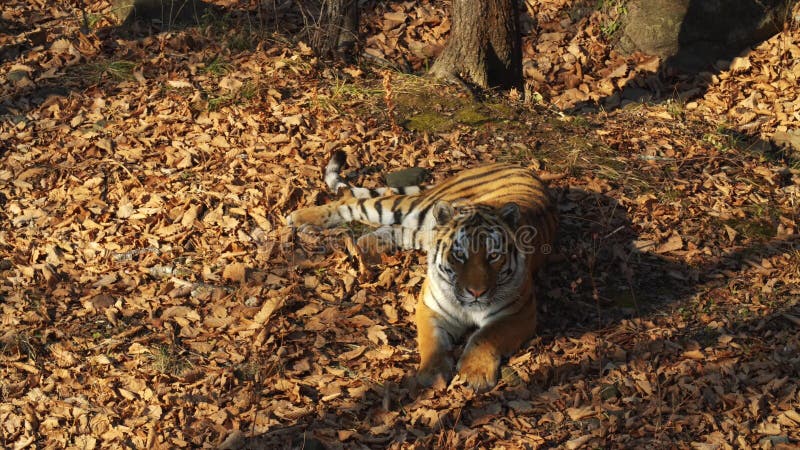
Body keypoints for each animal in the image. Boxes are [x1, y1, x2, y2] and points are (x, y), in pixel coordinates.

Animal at [286, 151, 556, 390]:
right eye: (459, 255)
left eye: (493, 256)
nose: (476, 293)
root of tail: (509, 165)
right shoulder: (430, 306)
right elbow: (433, 341)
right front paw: (433, 374)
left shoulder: (520, 313)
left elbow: (485, 337)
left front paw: (475, 374)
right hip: (410, 207)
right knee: (350, 203)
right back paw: (299, 217)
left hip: (421, 226)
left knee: (396, 229)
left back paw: (364, 246)